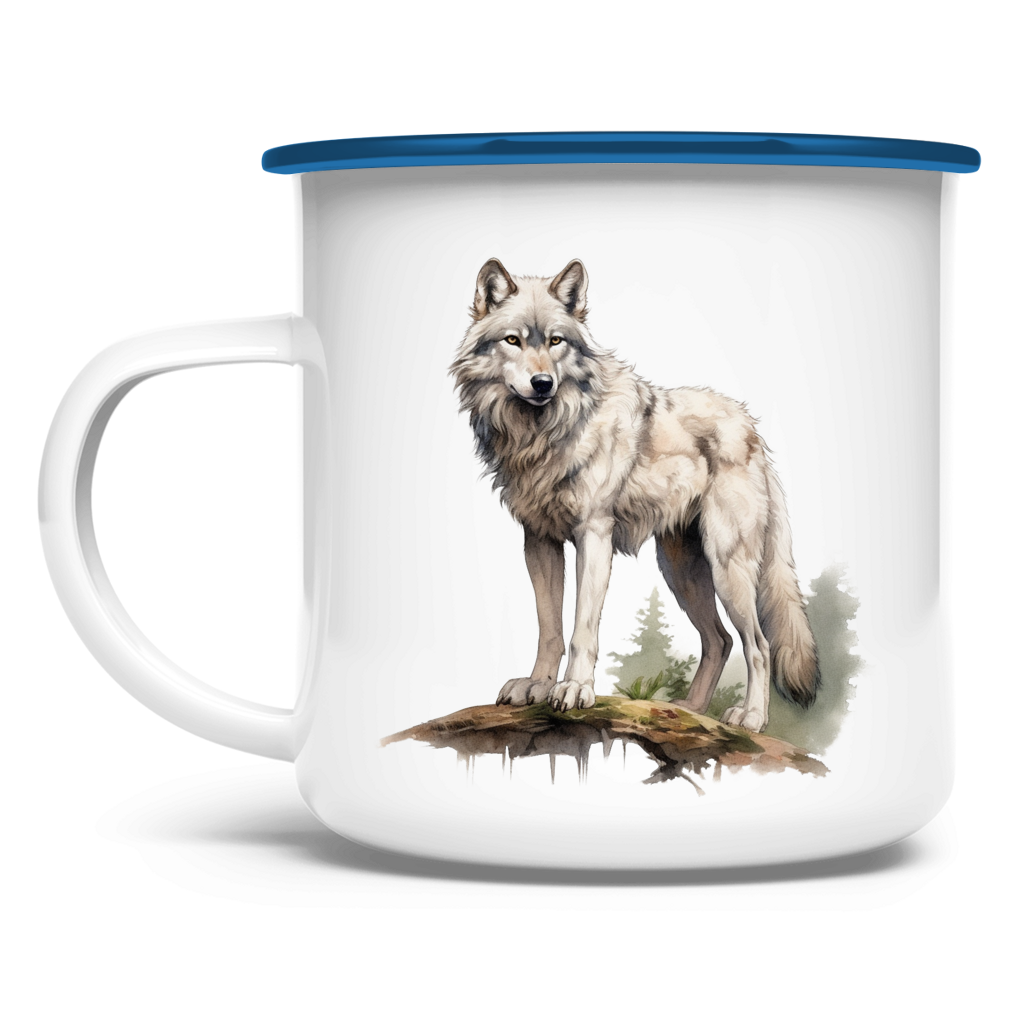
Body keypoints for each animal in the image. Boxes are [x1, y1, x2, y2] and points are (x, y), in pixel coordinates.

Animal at [447, 257, 819, 732]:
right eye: (513, 340)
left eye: (555, 341)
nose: (543, 382)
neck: (542, 434)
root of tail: (753, 427)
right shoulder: (538, 541)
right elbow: (550, 628)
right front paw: (537, 686)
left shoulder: (593, 535)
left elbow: (583, 629)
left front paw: (575, 689)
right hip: (681, 571)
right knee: (719, 641)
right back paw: (689, 711)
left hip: (727, 569)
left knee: (758, 644)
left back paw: (750, 718)